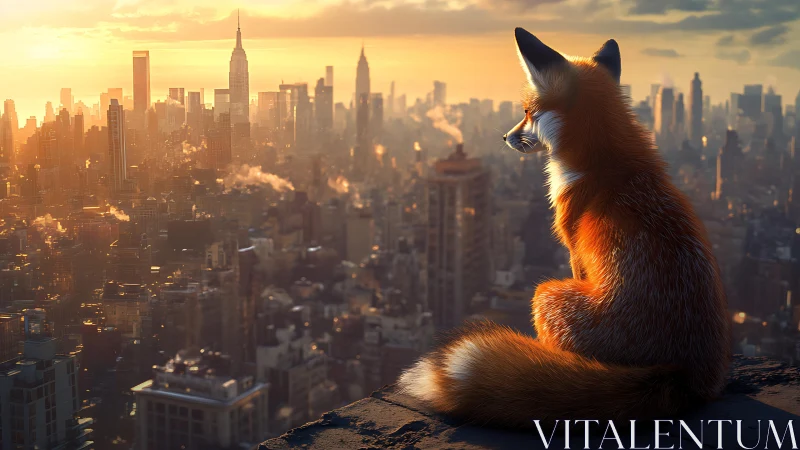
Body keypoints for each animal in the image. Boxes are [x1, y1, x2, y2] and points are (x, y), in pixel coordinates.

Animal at [398, 27, 730, 428]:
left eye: (527, 112)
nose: (504, 137)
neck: (603, 159)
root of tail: (682, 373)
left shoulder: (574, 250)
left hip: (544, 294)